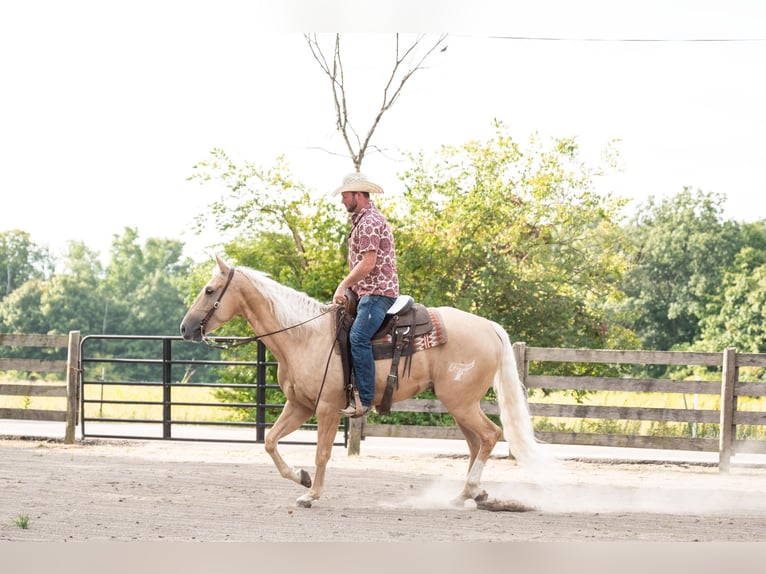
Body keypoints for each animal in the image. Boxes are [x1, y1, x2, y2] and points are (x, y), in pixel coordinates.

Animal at [180, 256, 552, 508]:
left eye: (209, 290)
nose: (186, 328)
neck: (304, 336)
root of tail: (489, 327)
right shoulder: (299, 405)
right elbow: (270, 441)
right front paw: (301, 478)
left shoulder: (328, 408)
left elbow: (322, 453)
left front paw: (312, 495)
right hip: (461, 404)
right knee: (476, 444)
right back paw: (468, 494)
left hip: (461, 402)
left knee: (490, 436)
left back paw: (472, 490)